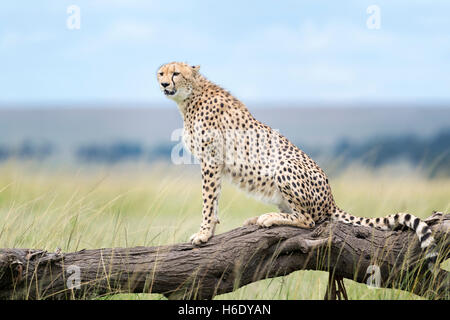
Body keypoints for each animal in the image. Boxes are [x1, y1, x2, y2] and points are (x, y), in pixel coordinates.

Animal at [156, 61, 438, 266]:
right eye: (161, 72)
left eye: (176, 73)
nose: (163, 83)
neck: (191, 96)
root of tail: (331, 199)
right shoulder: (213, 163)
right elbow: (213, 200)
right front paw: (210, 230)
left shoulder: (212, 160)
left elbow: (208, 199)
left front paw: (203, 233)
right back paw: (260, 217)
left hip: (285, 166)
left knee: (310, 220)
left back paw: (269, 218)